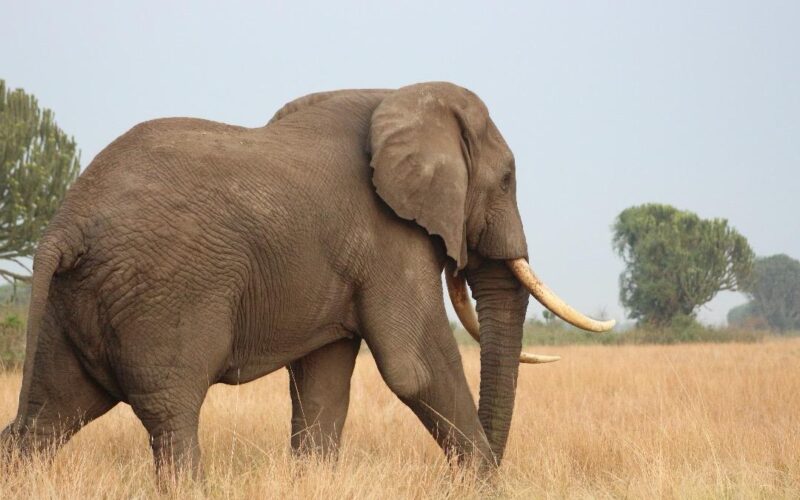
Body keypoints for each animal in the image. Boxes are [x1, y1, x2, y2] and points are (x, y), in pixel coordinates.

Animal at [0, 82, 616, 480]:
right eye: (507, 179)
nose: (457, 481)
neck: (403, 97)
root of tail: (66, 220)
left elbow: (323, 381)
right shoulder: (388, 235)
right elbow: (414, 368)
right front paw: (487, 484)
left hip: (74, 299)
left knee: (47, 418)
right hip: (158, 294)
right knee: (170, 417)